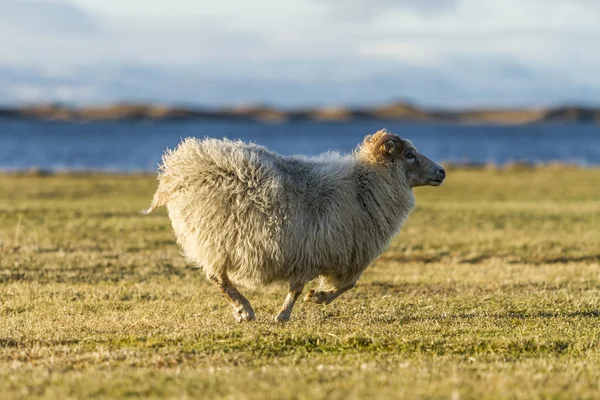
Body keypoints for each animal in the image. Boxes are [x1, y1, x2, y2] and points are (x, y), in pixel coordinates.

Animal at [144, 130, 446, 324]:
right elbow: (324, 286)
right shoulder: (316, 248)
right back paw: (244, 309)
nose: (442, 171)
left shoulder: (318, 249)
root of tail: (181, 166)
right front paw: (298, 307)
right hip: (216, 236)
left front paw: (314, 298)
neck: (366, 183)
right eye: (410, 154)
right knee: (217, 278)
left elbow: (345, 283)